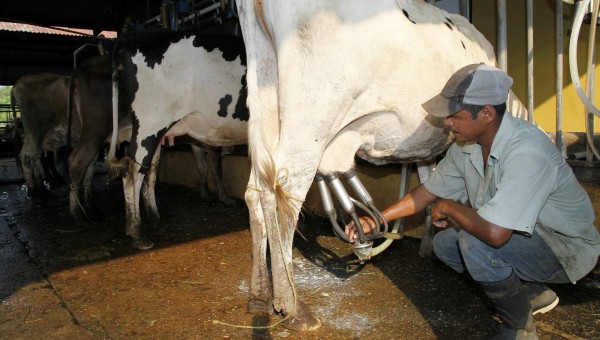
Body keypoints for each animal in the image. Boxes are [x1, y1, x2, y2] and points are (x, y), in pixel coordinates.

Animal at [106, 29, 247, 250]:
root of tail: (131, 37)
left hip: (156, 132)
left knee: (150, 174)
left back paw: (155, 223)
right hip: (149, 124)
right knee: (132, 172)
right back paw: (137, 233)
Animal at [237, 0, 528, 330]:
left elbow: (429, 179)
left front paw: (428, 241)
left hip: (265, 104)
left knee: (256, 192)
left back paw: (260, 295)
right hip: (312, 115)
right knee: (284, 194)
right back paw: (292, 306)